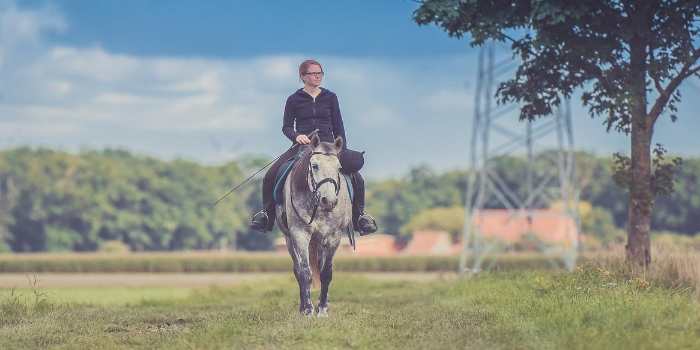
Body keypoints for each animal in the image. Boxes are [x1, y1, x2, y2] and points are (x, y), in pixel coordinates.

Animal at [274, 134, 350, 318]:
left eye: (339, 168)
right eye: (314, 166)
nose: (329, 201)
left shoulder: (333, 237)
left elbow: (326, 273)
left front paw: (322, 310)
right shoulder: (299, 234)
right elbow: (305, 272)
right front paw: (308, 310)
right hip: (289, 240)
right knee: (297, 270)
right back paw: (302, 309)